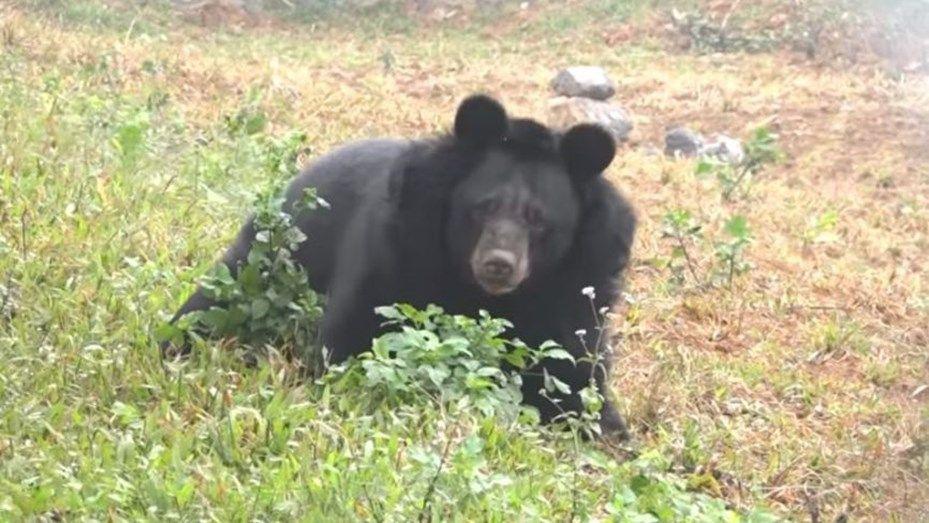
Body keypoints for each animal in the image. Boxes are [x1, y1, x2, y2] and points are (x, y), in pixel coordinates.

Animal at [163, 94, 636, 438]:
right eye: (483, 208)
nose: (499, 265)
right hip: (276, 254)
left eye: (539, 220)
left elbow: (574, 372)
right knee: (216, 300)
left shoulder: (577, 284)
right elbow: (357, 337)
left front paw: (609, 430)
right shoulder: (399, 249)